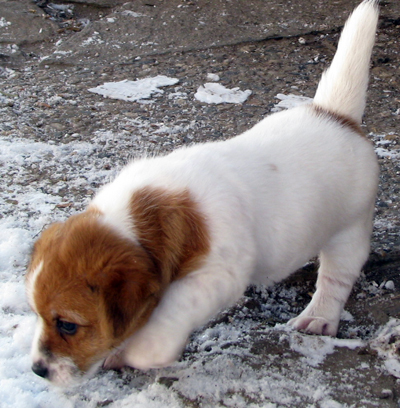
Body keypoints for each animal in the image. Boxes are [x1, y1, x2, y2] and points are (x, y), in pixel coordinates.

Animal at [26, 0, 380, 388]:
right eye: (37, 314)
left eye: (67, 325)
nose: (37, 370)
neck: (143, 215)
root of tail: (336, 116)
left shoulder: (215, 274)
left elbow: (170, 311)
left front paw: (143, 351)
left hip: (349, 230)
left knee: (335, 278)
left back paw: (318, 317)